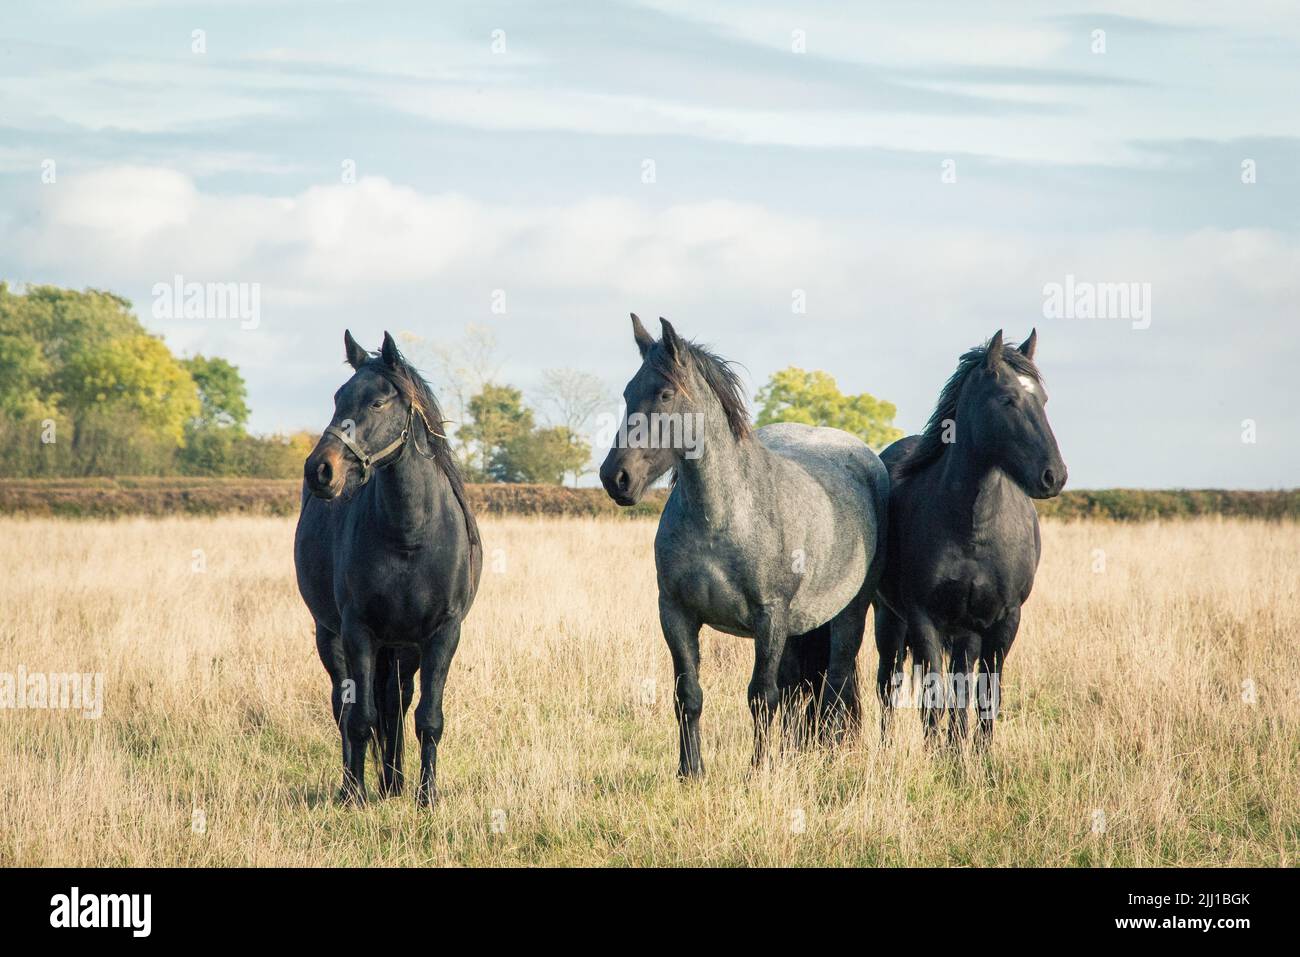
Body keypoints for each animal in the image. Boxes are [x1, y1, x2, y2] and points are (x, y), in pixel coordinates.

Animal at [292, 332, 480, 806]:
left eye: (377, 402)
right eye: (337, 398)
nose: (320, 470)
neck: (409, 535)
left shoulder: (442, 634)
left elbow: (428, 717)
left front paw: (426, 797)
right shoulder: (358, 631)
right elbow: (360, 717)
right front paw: (354, 796)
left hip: (403, 649)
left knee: (397, 702)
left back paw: (394, 783)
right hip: (332, 637)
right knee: (346, 707)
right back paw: (359, 784)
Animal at [600, 317, 894, 774]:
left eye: (665, 394)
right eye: (630, 393)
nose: (615, 477)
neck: (721, 518)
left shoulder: (769, 617)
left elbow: (761, 696)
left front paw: (759, 770)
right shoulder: (676, 614)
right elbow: (688, 695)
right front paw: (690, 771)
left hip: (849, 614)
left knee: (835, 685)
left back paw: (828, 756)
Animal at [873, 330, 1066, 748]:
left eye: (1043, 400)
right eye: (1008, 399)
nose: (1054, 476)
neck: (974, 528)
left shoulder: (1003, 621)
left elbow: (985, 696)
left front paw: (977, 757)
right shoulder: (923, 618)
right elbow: (933, 697)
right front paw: (936, 758)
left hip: (966, 632)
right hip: (889, 620)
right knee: (888, 684)